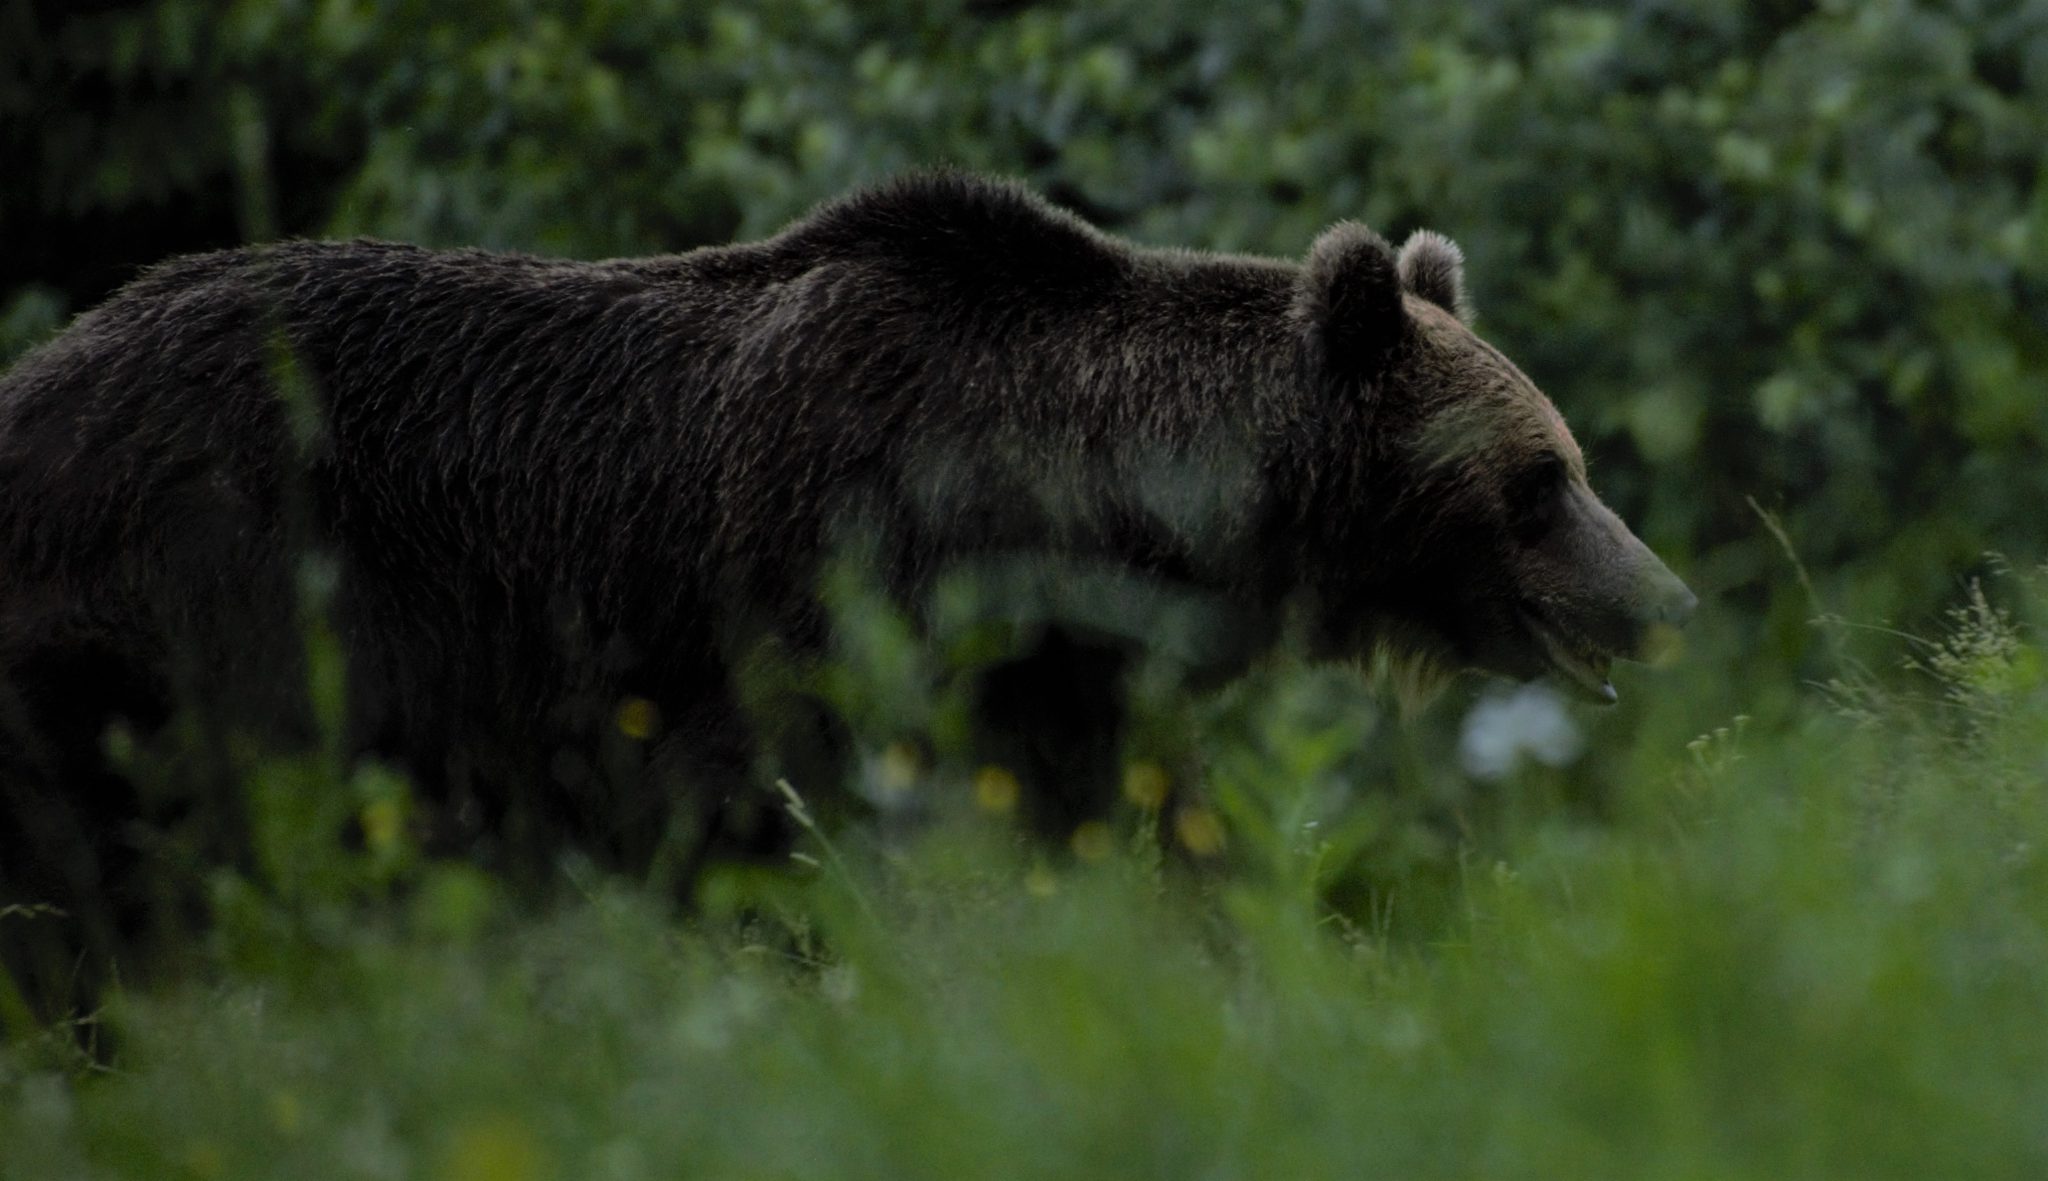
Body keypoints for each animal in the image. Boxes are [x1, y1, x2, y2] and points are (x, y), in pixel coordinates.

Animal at [4, 172, 1695, 1002]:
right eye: (1544, 481)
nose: (1664, 599)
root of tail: (44, 371)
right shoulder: (824, 593)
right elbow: (803, 826)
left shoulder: (1060, 681)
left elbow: (1147, 832)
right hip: (201, 607)